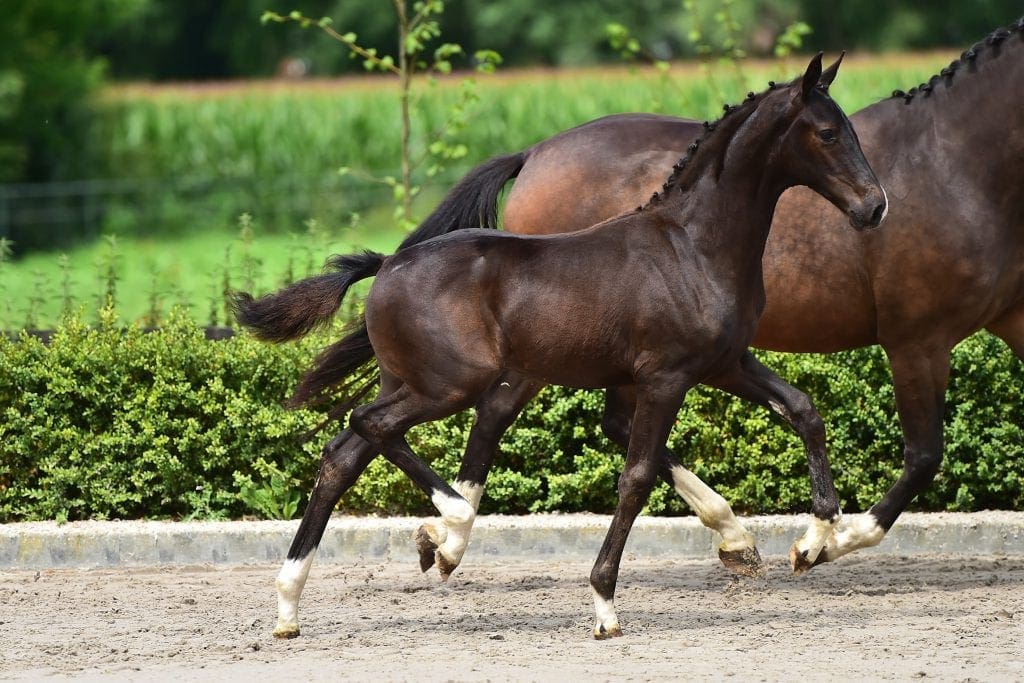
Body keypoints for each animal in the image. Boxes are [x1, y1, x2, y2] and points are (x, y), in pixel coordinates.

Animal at [234, 54, 887, 638]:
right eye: (828, 133)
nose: (875, 206)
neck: (694, 246)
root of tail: (387, 263)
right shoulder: (666, 376)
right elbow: (637, 477)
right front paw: (604, 606)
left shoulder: (725, 363)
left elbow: (803, 409)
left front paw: (814, 541)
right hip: (450, 383)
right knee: (368, 424)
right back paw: (449, 519)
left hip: (411, 381)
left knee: (343, 453)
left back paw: (291, 606)